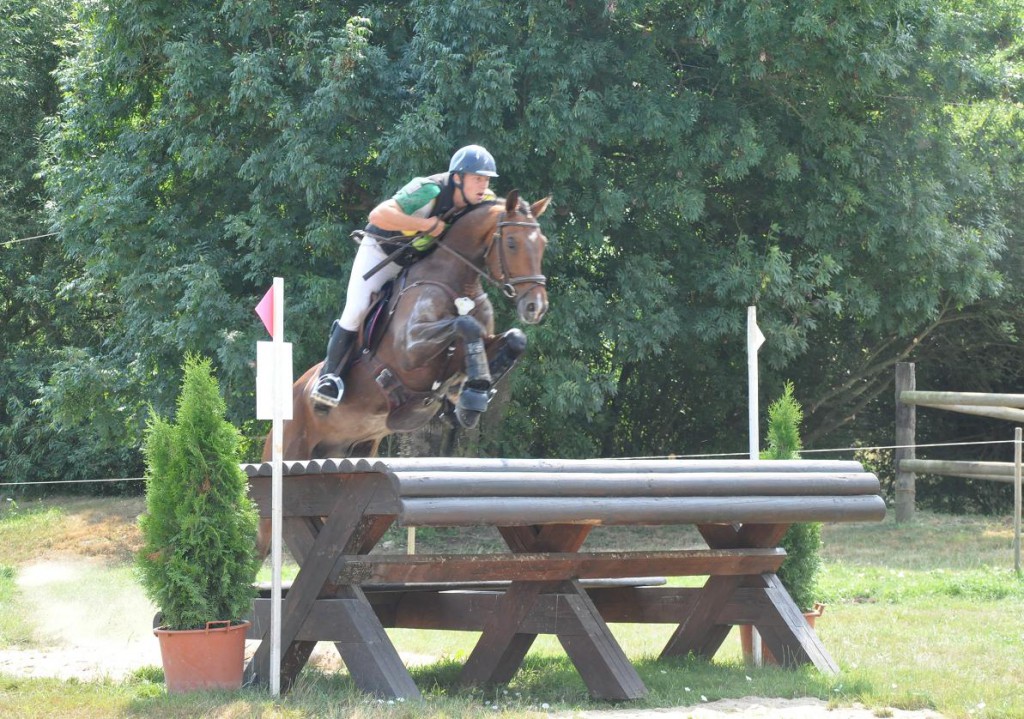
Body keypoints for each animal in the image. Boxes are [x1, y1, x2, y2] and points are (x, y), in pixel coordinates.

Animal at [260, 191, 548, 473]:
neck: (458, 284)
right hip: (291, 446)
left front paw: (471, 396)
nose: (536, 306)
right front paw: (473, 395)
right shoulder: (410, 353)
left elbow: (514, 339)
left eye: (542, 243)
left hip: (356, 447)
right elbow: (466, 325)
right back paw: (327, 388)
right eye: (511, 242)